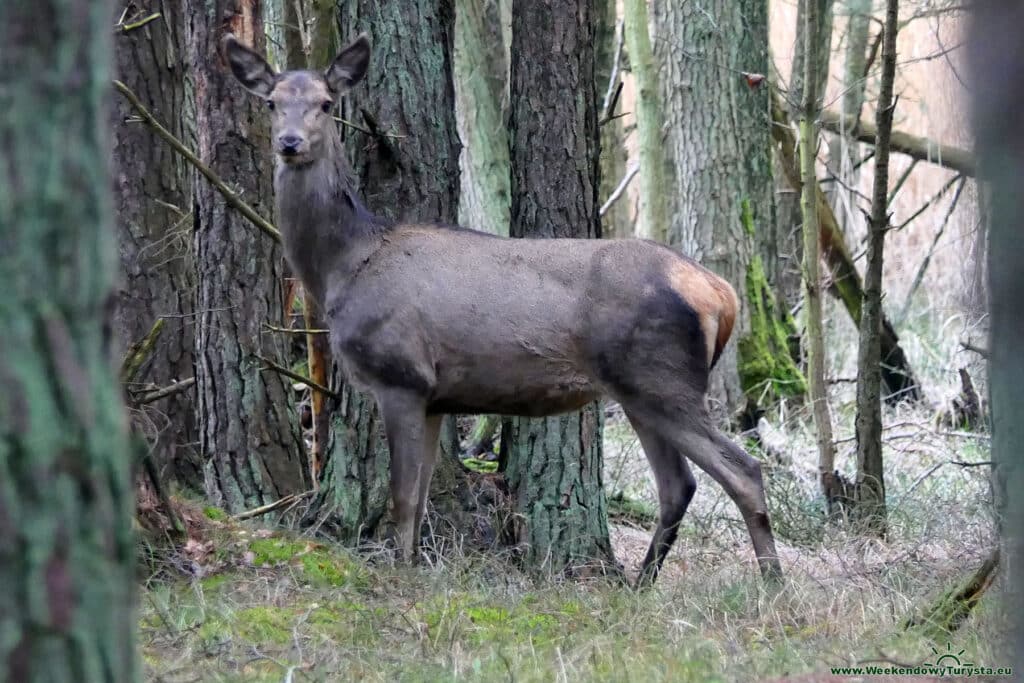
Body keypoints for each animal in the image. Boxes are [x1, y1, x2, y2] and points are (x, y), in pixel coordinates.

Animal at [226, 33, 782, 589]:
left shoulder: (400, 375)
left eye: (326, 103)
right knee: (678, 486)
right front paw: (416, 567)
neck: (345, 265)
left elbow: (403, 497)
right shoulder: (435, 397)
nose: (290, 142)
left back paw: (771, 585)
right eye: (272, 102)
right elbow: (420, 498)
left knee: (743, 471)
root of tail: (721, 293)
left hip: (663, 378)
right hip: (639, 391)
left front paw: (399, 576)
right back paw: (641, 586)